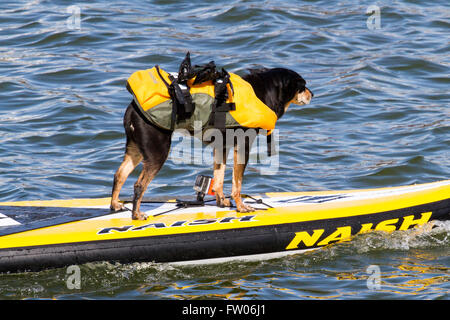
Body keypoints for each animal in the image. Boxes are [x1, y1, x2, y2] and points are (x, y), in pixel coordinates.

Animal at [110, 65, 312, 220]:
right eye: (303, 87)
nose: (313, 94)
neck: (262, 93)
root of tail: (133, 108)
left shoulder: (222, 146)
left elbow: (219, 177)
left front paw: (222, 201)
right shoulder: (243, 147)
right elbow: (237, 182)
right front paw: (241, 207)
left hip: (135, 149)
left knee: (119, 174)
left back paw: (115, 205)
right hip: (157, 153)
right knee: (139, 185)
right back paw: (136, 215)